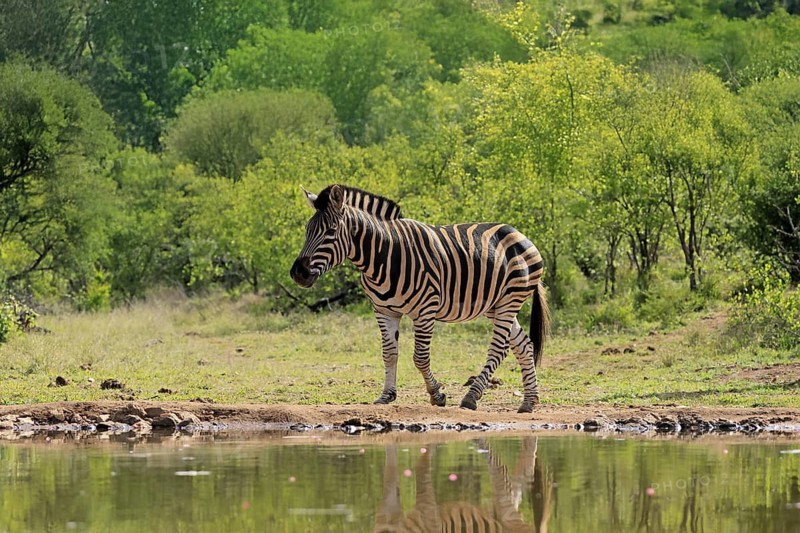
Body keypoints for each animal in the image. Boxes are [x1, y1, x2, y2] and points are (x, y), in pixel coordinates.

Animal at [290, 184, 549, 413]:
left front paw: (437, 395)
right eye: (307, 229)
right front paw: (386, 395)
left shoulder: (426, 309)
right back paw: (529, 401)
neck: (383, 256)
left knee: (498, 348)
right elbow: (389, 353)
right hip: (495, 305)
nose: (298, 273)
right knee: (523, 345)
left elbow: (420, 357)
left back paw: (471, 397)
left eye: (331, 231)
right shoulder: (384, 310)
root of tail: (518, 233)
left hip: (511, 299)